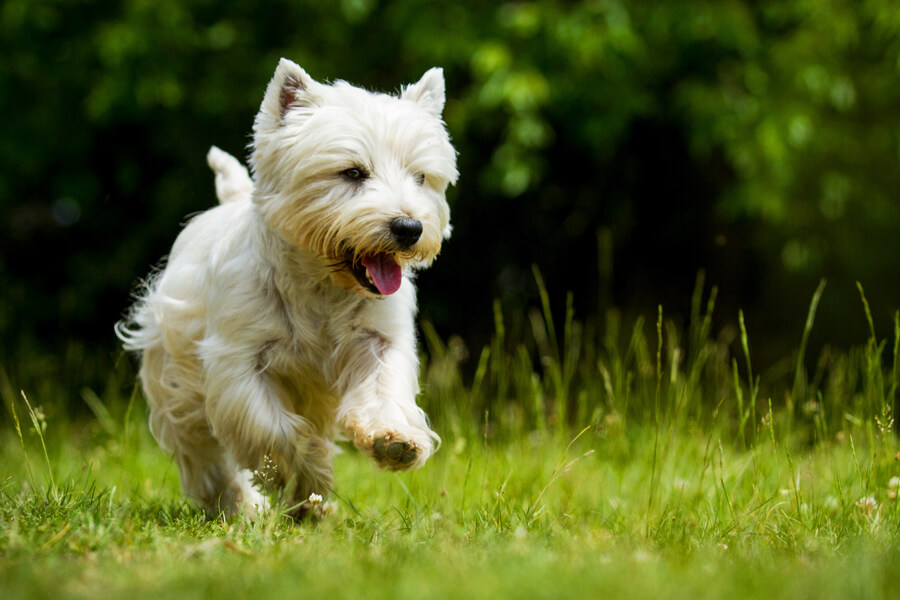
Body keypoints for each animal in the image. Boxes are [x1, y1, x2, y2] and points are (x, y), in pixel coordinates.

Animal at [115, 59, 458, 516]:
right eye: (352, 172)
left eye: (420, 176)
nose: (409, 227)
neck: (322, 285)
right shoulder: (238, 362)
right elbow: (273, 430)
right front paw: (308, 475)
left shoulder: (378, 341)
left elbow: (382, 390)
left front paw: (394, 441)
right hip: (175, 381)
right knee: (203, 454)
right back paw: (240, 504)